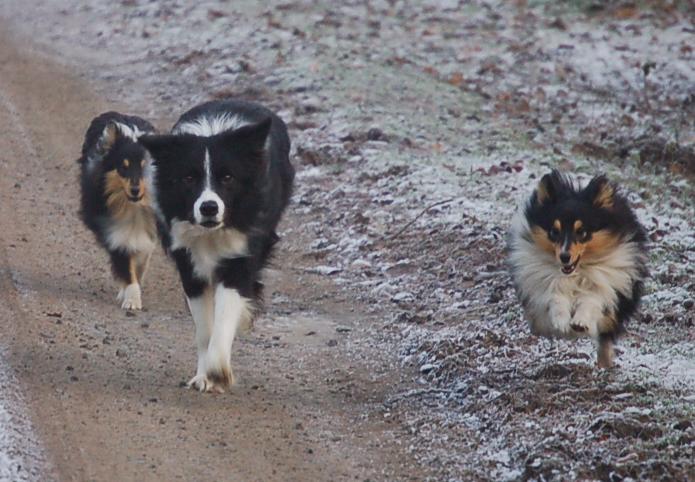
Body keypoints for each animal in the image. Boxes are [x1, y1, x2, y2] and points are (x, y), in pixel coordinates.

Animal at [78, 111, 158, 310]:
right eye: (124, 167)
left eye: (145, 167)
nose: (135, 190)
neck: (133, 207)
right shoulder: (113, 230)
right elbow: (126, 265)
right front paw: (132, 299)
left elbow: (141, 260)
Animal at [140, 100, 294, 394]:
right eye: (189, 178)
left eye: (228, 177)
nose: (209, 207)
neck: (211, 233)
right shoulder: (188, 263)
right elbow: (204, 327)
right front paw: (204, 376)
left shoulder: (240, 255)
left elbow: (225, 314)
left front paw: (217, 371)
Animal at [508, 171, 648, 368]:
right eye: (554, 231)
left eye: (582, 232)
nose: (565, 256)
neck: (575, 272)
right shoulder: (543, 284)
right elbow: (555, 296)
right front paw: (561, 321)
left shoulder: (606, 282)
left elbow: (591, 298)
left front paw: (580, 321)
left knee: (605, 339)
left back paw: (605, 363)